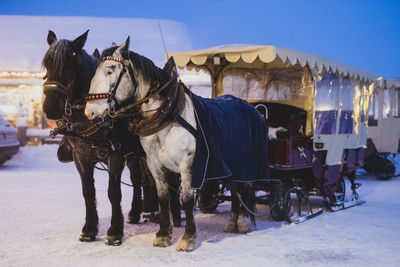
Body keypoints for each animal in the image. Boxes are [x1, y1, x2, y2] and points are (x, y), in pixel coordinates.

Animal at [41, 30, 180, 246]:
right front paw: (89, 229)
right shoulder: (81, 158)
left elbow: (113, 192)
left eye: (69, 66)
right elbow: (88, 192)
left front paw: (115, 231)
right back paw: (137, 212)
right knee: (139, 179)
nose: (50, 108)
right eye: (47, 64)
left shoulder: (115, 155)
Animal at [85, 37, 260, 251]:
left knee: (246, 188)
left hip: (245, 165)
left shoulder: (189, 166)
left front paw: (188, 238)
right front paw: (163, 235)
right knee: (234, 189)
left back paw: (244, 222)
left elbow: (186, 201)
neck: (167, 117)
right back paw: (232, 223)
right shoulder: (155, 166)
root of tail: (250, 107)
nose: (89, 111)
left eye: (110, 70)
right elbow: (164, 198)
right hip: (226, 166)